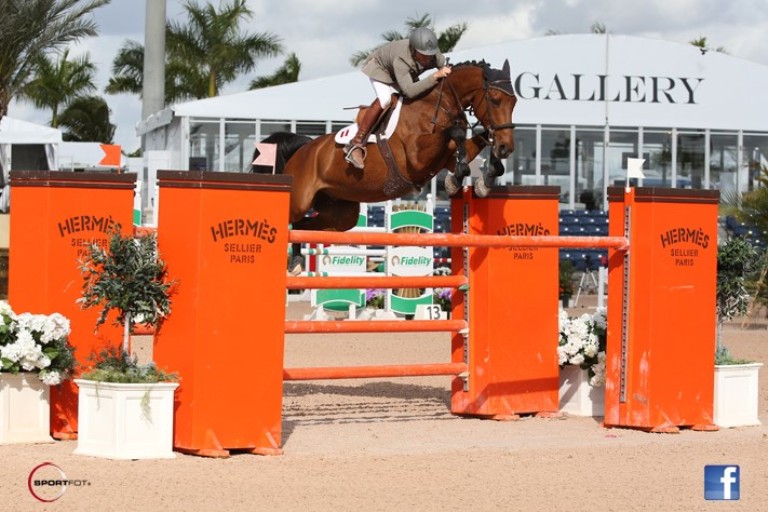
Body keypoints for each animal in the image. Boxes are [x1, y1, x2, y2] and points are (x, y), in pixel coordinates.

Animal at [252, 59, 518, 235]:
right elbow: (456, 134)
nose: (507, 147)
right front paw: (459, 178)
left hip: (340, 212)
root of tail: (304, 149)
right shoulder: (417, 158)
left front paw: (484, 179)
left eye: (514, 102)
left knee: (304, 227)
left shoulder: (446, 158)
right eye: (495, 101)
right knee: (294, 221)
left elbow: (471, 145)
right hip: (300, 200)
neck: (438, 104)